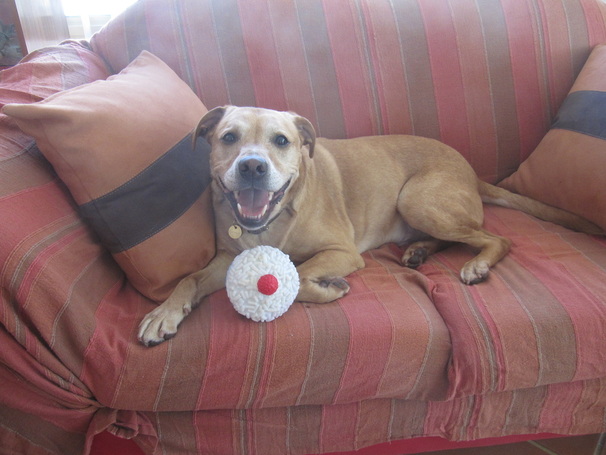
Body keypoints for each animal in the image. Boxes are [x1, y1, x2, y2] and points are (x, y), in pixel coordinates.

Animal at [139, 105, 604, 346]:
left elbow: (299, 275)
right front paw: (164, 313)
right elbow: (189, 279)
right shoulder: (225, 260)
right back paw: (419, 251)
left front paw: (325, 289)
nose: (252, 167)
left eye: (282, 141)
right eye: (229, 138)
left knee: (496, 237)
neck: (272, 221)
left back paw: (477, 264)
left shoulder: (341, 252)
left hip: (417, 198)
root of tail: (472, 174)